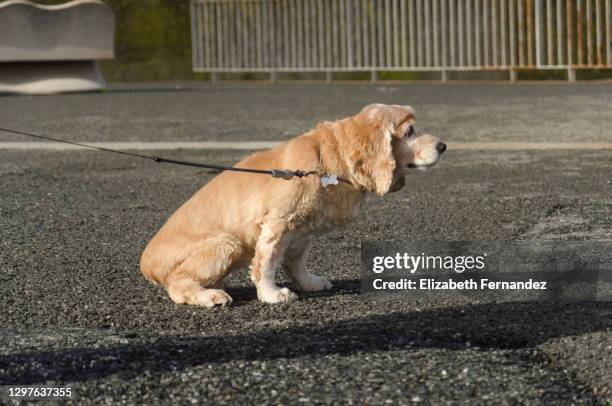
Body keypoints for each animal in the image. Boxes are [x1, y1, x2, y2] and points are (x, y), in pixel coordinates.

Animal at [141, 103, 448, 306]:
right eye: (409, 131)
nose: (443, 146)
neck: (326, 163)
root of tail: (146, 265)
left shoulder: (302, 231)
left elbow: (296, 260)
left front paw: (310, 283)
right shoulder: (277, 223)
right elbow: (266, 263)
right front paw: (272, 295)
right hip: (226, 244)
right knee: (178, 284)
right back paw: (211, 295)